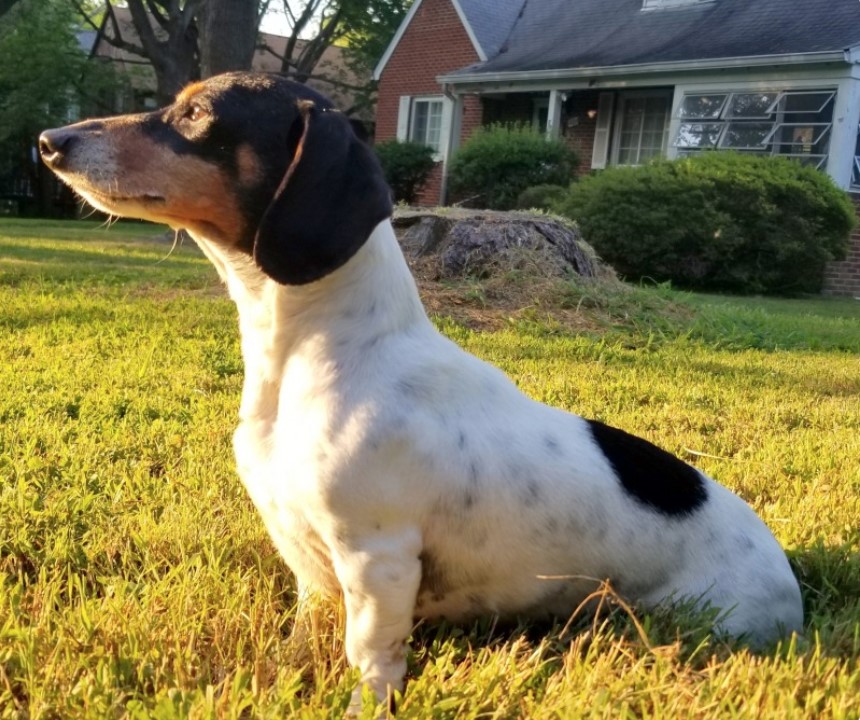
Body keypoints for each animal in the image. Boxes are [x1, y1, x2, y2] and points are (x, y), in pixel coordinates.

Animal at [40, 70, 804, 712]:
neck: (328, 355)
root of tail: (788, 584)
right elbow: (305, 634)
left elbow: (370, 655)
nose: (50, 142)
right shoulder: (311, 563)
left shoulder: (376, 556)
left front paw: (362, 706)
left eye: (198, 112)